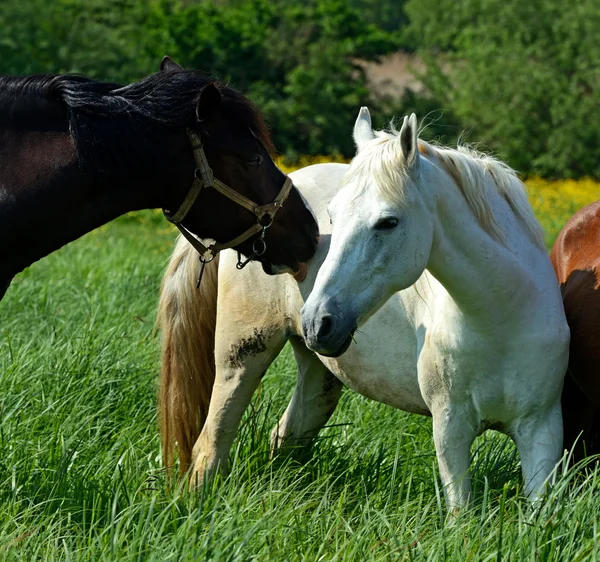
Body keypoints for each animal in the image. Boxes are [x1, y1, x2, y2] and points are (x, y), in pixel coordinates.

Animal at [157, 110, 568, 512]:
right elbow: (460, 514)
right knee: (210, 446)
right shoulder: (451, 428)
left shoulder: (541, 431)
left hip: (318, 377)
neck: (500, 318)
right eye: (333, 218)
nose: (317, 321)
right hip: (241, 357)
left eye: (388, 222)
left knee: (285, 438)